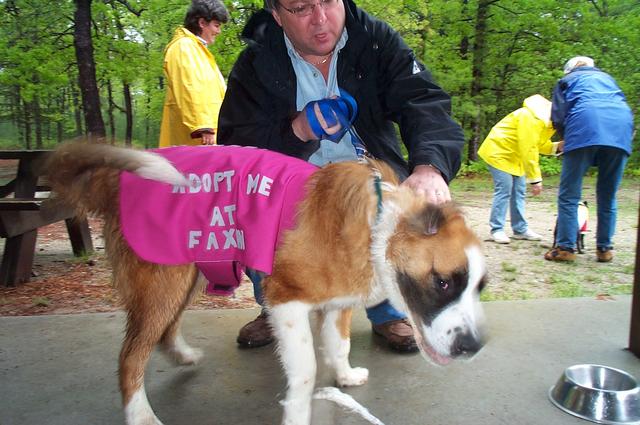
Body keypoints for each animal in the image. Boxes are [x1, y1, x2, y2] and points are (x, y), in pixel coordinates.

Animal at [44, 142, 487, 425]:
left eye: (478, 287)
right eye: (444, 282)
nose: (473, 347)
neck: (376, 222)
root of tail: (117, 182)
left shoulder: (337, 303)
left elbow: (338, 344)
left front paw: (344, 376)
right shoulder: (285, 301)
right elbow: (306, 368)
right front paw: (297, 412)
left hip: (187, 274)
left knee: (164, 330)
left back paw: (182, 356)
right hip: (163, 283)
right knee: (131, 357)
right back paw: (140, 414)